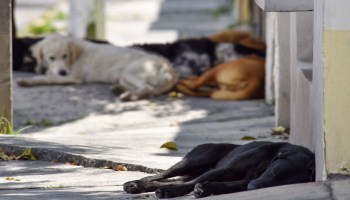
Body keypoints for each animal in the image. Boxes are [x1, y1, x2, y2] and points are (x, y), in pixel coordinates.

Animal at [17, 34, 178, 101]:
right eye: (51, 58)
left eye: (65, 56)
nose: (62, 72)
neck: (75, 56)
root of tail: (170, 69)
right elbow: (49, 74)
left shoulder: (74, 77)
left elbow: (48, 78)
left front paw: (28, 81)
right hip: (123, 76)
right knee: (147, 89)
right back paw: (121, 90)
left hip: (129, 72)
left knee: (147, 88)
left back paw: (128, 96)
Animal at [123, 141, 314, 199]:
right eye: (275, 173)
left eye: (279, 184)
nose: (252, 188)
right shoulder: (227, 169)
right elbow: (194, 182)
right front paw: (171, 192)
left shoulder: (243, 181)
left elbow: (225, 186)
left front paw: (207, 188)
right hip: (193, 161)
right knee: (161, 175)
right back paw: (135, 184)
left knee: (172, 180)